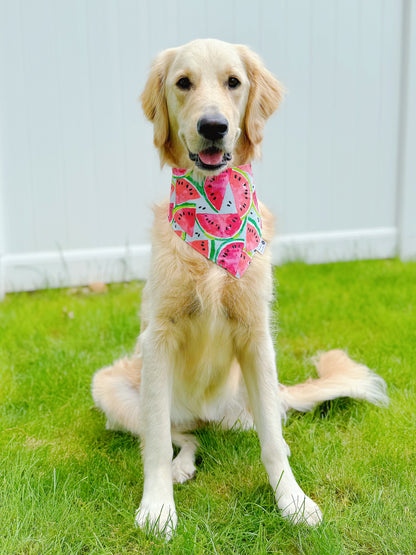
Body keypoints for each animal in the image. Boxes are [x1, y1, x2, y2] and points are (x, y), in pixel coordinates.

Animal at [91, 38, 386, 540]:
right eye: (183, 83)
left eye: (233, 82)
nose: (213, 126)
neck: (215, 209)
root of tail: (208, 414)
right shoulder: (158, 337)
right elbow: (155, 445)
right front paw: (157, 507)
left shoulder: (256, 335)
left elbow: (274, 442)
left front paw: (293, 502)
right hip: (113, 387)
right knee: (178, 437)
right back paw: (180, 468)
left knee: (256, 428)